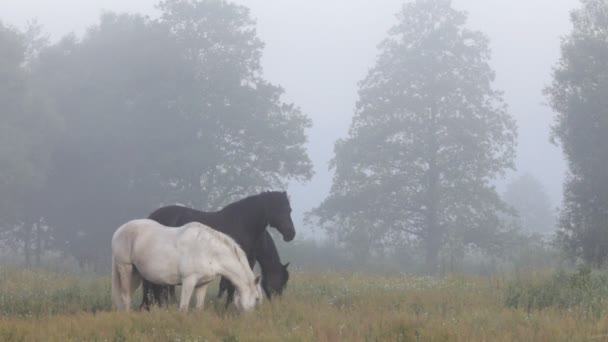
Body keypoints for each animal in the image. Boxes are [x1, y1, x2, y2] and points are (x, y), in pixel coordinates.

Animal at [111, 219, 262, 312]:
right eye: (257, 298)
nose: (250, 320)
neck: (209, 251)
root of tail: (119, 230)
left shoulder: (202, 284)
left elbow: (198, 308)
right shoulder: (188, 281)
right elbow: (183, 308)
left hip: (136, 274)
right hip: (125, 268)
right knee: (125, 297)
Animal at [142, 190, 294, 310]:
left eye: (289, 210)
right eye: (279, 209)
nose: (291, 233)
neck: (243, 224)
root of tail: (151, 216)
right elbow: (230, 286)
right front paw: (227, 306)